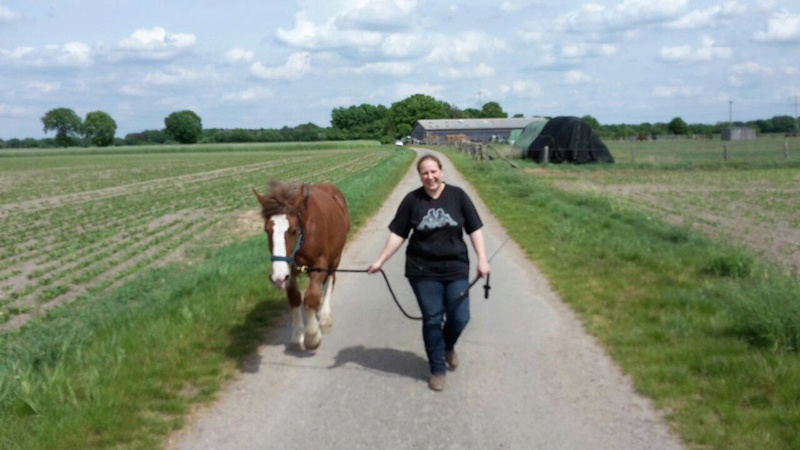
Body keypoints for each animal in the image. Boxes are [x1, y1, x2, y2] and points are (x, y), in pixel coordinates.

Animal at [252, 180, 348, 352]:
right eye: (266, 230)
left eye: (293, 230)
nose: (277, 278)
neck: (304, 237)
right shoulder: (289, 269)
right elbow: (295, 298)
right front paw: (297, 334)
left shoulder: (319, 264)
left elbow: (311, 297)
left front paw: (312, 337)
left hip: (335, 258)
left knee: (330, 281)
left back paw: (325, 318)